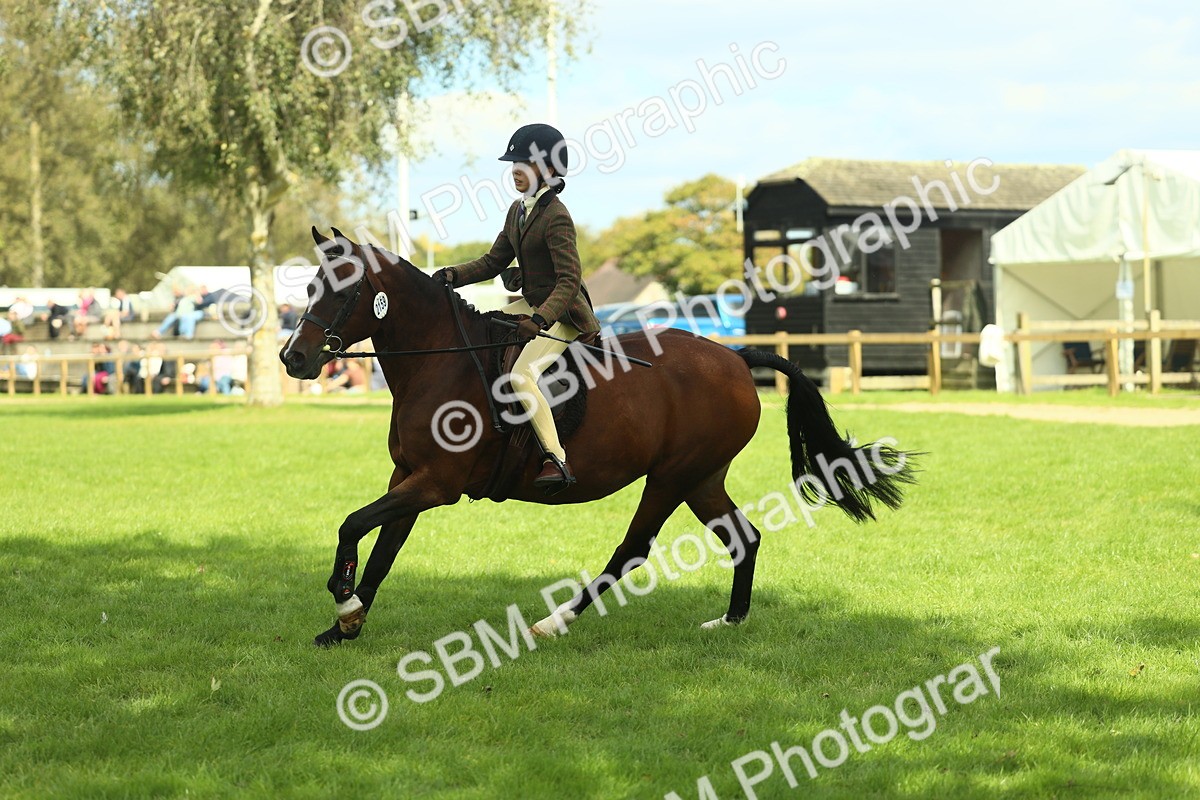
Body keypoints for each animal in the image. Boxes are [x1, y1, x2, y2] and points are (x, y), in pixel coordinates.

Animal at [280, 228, 918, 647]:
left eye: (342, 289)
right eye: (311, 285)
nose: (294, 358)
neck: (443, 360)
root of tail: (735, 357)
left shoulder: (436, 483)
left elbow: (352, 525)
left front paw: (343, 599)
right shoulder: (409, 476)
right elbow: (384, 546)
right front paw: (347, 623)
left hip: (671, 476)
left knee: (633, 549)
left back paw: (554, 622)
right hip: (702, 477)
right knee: (745, 537)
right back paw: (730, 621)